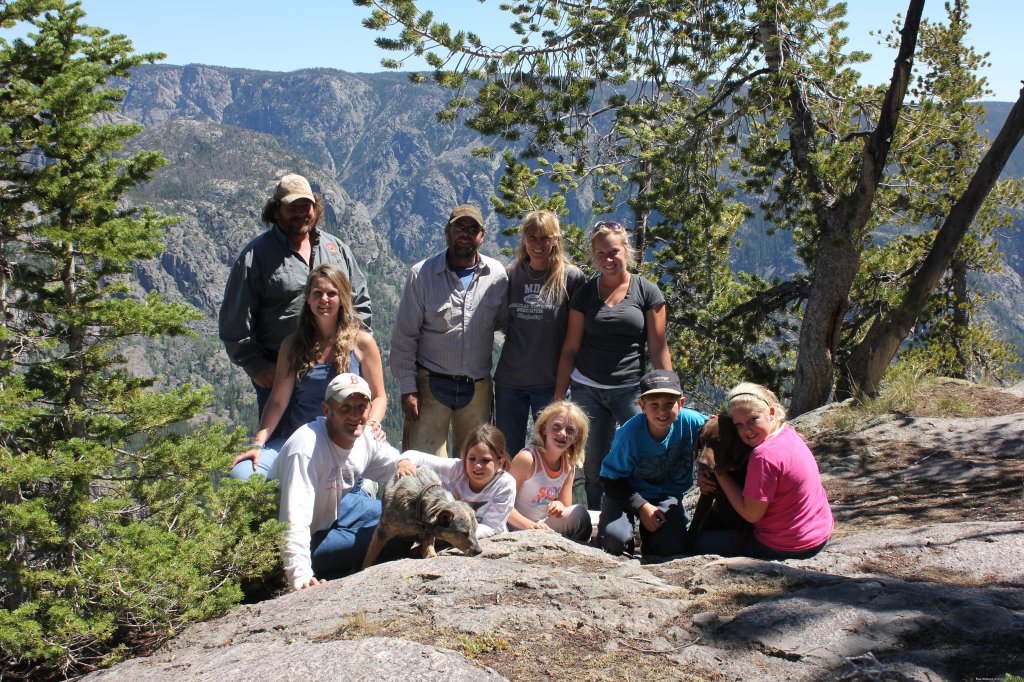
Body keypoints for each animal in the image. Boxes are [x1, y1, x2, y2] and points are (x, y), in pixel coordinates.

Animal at [688, 413, 753, 552]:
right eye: (702, 439)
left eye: (718, 441)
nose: (701, 464)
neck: (729, 471)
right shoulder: (707, 492)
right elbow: (695, 523)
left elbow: (740, 533)